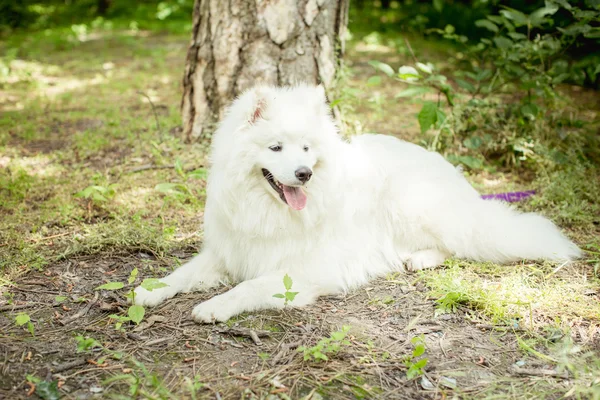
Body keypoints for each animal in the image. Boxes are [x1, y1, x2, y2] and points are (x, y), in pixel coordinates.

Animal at [135, 83, 580, 322]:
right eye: (276, 147)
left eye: (306, 148)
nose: (304, 173)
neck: (267, 210)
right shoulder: (227, 251)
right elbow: (182, 274)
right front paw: (150, 290)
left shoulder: (303, 272)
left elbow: (250, 286)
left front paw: (215, 305)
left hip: (414, 205)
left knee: (459, 245)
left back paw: (419, 258)